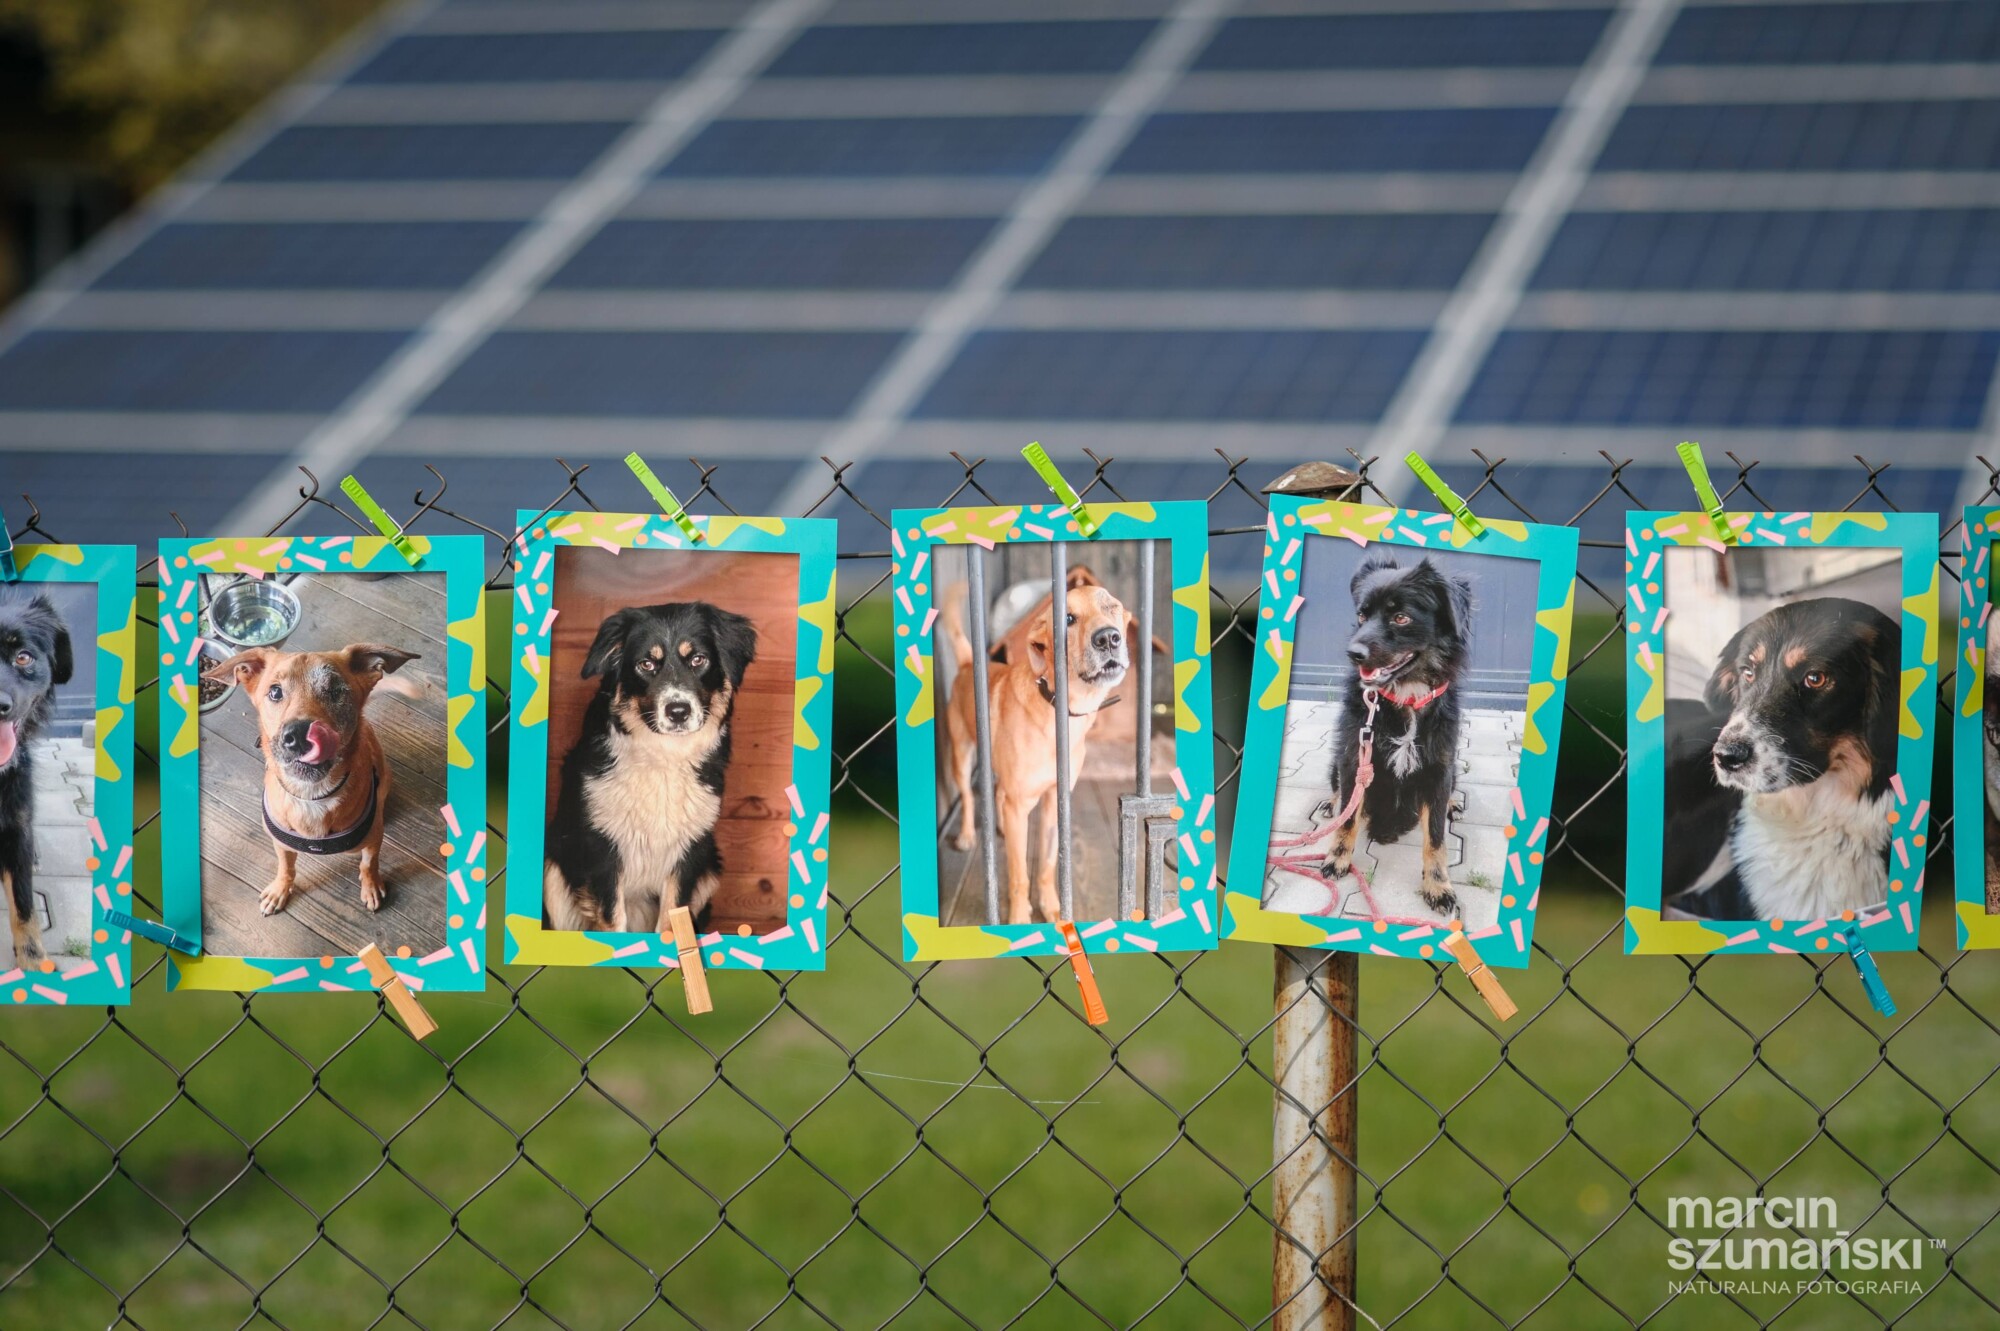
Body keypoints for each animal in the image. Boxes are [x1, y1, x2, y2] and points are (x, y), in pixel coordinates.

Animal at [203, 643, 419, 916]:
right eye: (275, 691)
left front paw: (370, 886)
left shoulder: (372, 840)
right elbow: (286, 868)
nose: (298, 735)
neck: (312, 795)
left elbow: (369, 864)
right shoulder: (281, 845)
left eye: (336, 690)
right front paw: (279, 890)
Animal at [543, 602, 756, 934]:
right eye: (646, 664)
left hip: (710, 868)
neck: (664, 754)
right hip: (552, 869)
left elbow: (671, 920)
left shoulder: (689, 850)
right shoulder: (602, 847)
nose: (678, 711)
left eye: (698, 659)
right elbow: (612, 918)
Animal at [940, 571, 1131, 924]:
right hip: (962, 755)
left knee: (998, 794)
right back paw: (968, 835)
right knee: (970, 798)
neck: (1059, 714)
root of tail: (967, 664)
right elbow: (1018, 874)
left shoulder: (1053, 801)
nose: (1109, 638)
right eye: (1067, 619)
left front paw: (1053, 908)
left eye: (1112, 607)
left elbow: (1047, 864)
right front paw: (1019, 919)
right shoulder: (1019, 804)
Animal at [1317, 555, 1472, 921]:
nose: (1352, 652)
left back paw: (1454, 803)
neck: (1406, 697)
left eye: (1401, 617)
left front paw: (1438, 886)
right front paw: (1337, 859)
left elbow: (1436, 838)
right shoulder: (1354, 756)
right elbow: (1349, 817)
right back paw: (1331, 803)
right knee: (1337, 791)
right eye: (1362, 615)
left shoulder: (1439, 766)